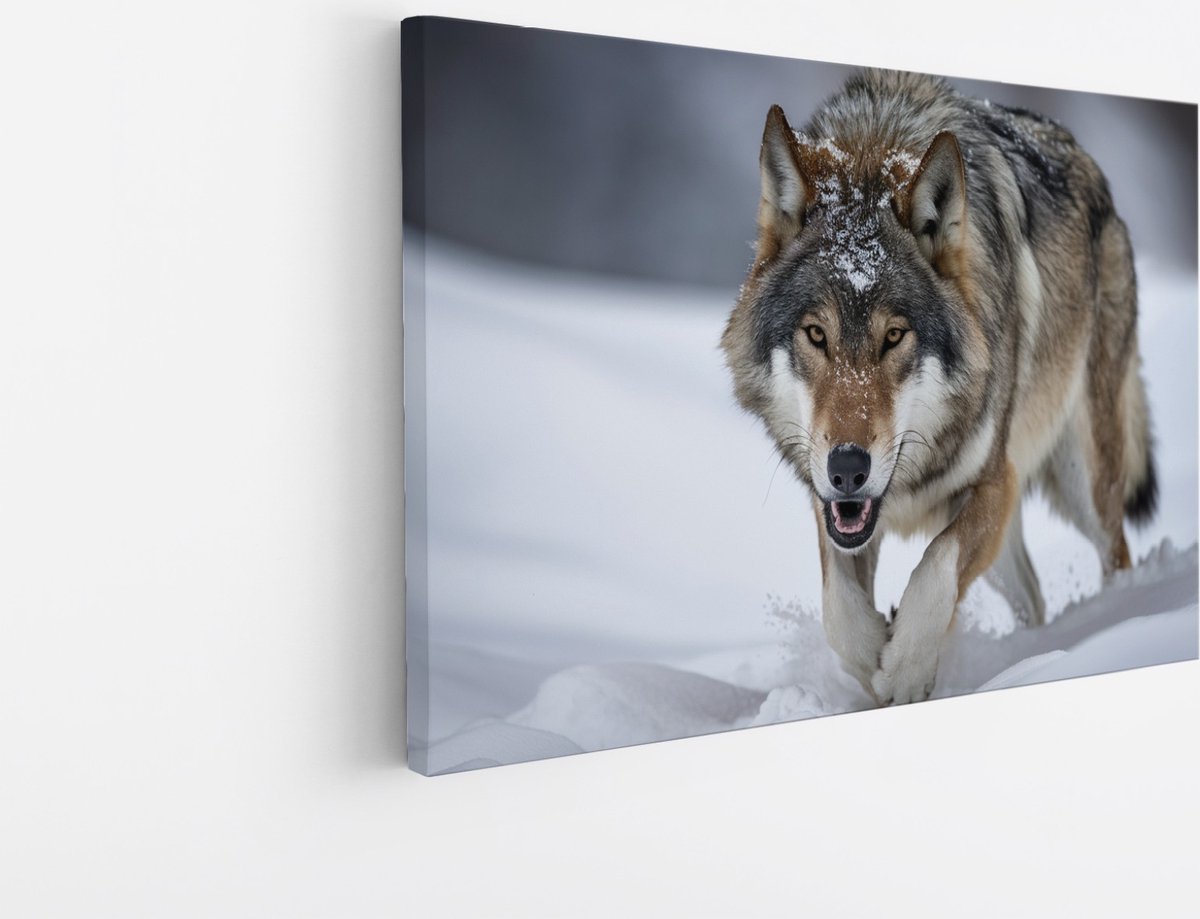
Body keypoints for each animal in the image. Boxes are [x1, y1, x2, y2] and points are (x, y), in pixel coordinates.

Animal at [722, 70, 1156, 705]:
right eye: (816, 335)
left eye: (894, 336)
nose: (847, 467)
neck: (878, 141)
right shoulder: (832, 508)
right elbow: (839, 609)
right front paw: (874, 659)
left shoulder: (994, 481)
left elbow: (935, 568)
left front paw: (904, 671)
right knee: (1032, 597)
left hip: (1085, 482)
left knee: (1116, 555)